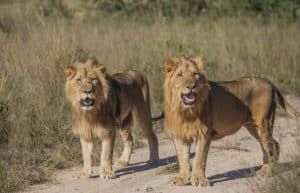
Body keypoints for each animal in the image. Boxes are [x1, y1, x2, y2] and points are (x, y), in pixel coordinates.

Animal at [163, 56, 298, 186]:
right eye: (180, 75)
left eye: (195, 74)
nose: (191, 86)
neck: (185, 110)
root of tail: (268, 81)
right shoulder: (179, 135)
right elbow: (182, 158)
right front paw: (182, 179)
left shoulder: (204, 133)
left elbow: (199, 158)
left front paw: (199, 179)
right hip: (253, 127)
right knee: (274, 144)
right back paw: (268, 168)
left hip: (263, 123)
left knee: (270, 146)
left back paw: (266, 171)